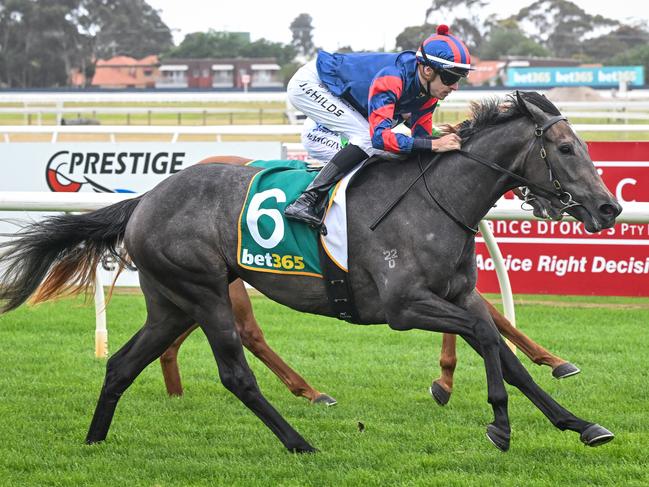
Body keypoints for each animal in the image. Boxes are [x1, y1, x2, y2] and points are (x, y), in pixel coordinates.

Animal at [0, 92, 616, 454]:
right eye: (565, 148)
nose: (609, 208)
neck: (434, 200)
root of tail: (146, 199)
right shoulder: (403, 307)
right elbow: (489, 337)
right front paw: (500, 424)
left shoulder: (457, 295)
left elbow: (506, 352)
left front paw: (580, 423)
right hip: (204, 292)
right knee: (236, 373)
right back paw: (300, 442)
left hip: (171, 302)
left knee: (123, 365)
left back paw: (94, 441)